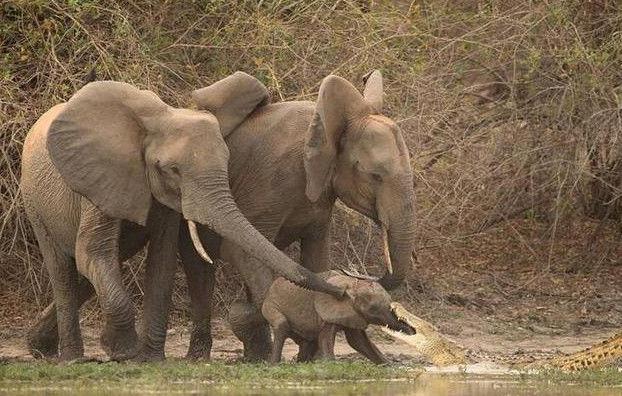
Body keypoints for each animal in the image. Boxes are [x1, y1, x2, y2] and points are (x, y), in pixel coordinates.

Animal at [20, 72, 346, 362]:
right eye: (172, 169)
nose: (342, 290)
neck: (160, 119)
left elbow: (161, 260)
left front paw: (150, 359)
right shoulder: (100, 178)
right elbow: (93, 250)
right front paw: (122, 351)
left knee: (104, 263)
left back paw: (40, 347)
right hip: (34, 199)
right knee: (64, 269)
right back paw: (69, 358)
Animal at [260, 270, 416, 364]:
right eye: (373, 309)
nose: (413, 331)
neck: (353, 284)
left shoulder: (353, 313)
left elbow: (358, 340)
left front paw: (388, 365)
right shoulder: (328, 311)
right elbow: (326, 338)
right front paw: (331, 364)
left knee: (308, 342)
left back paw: (302, 364)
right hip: (270, 305)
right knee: (281, 326)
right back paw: (274, 365)